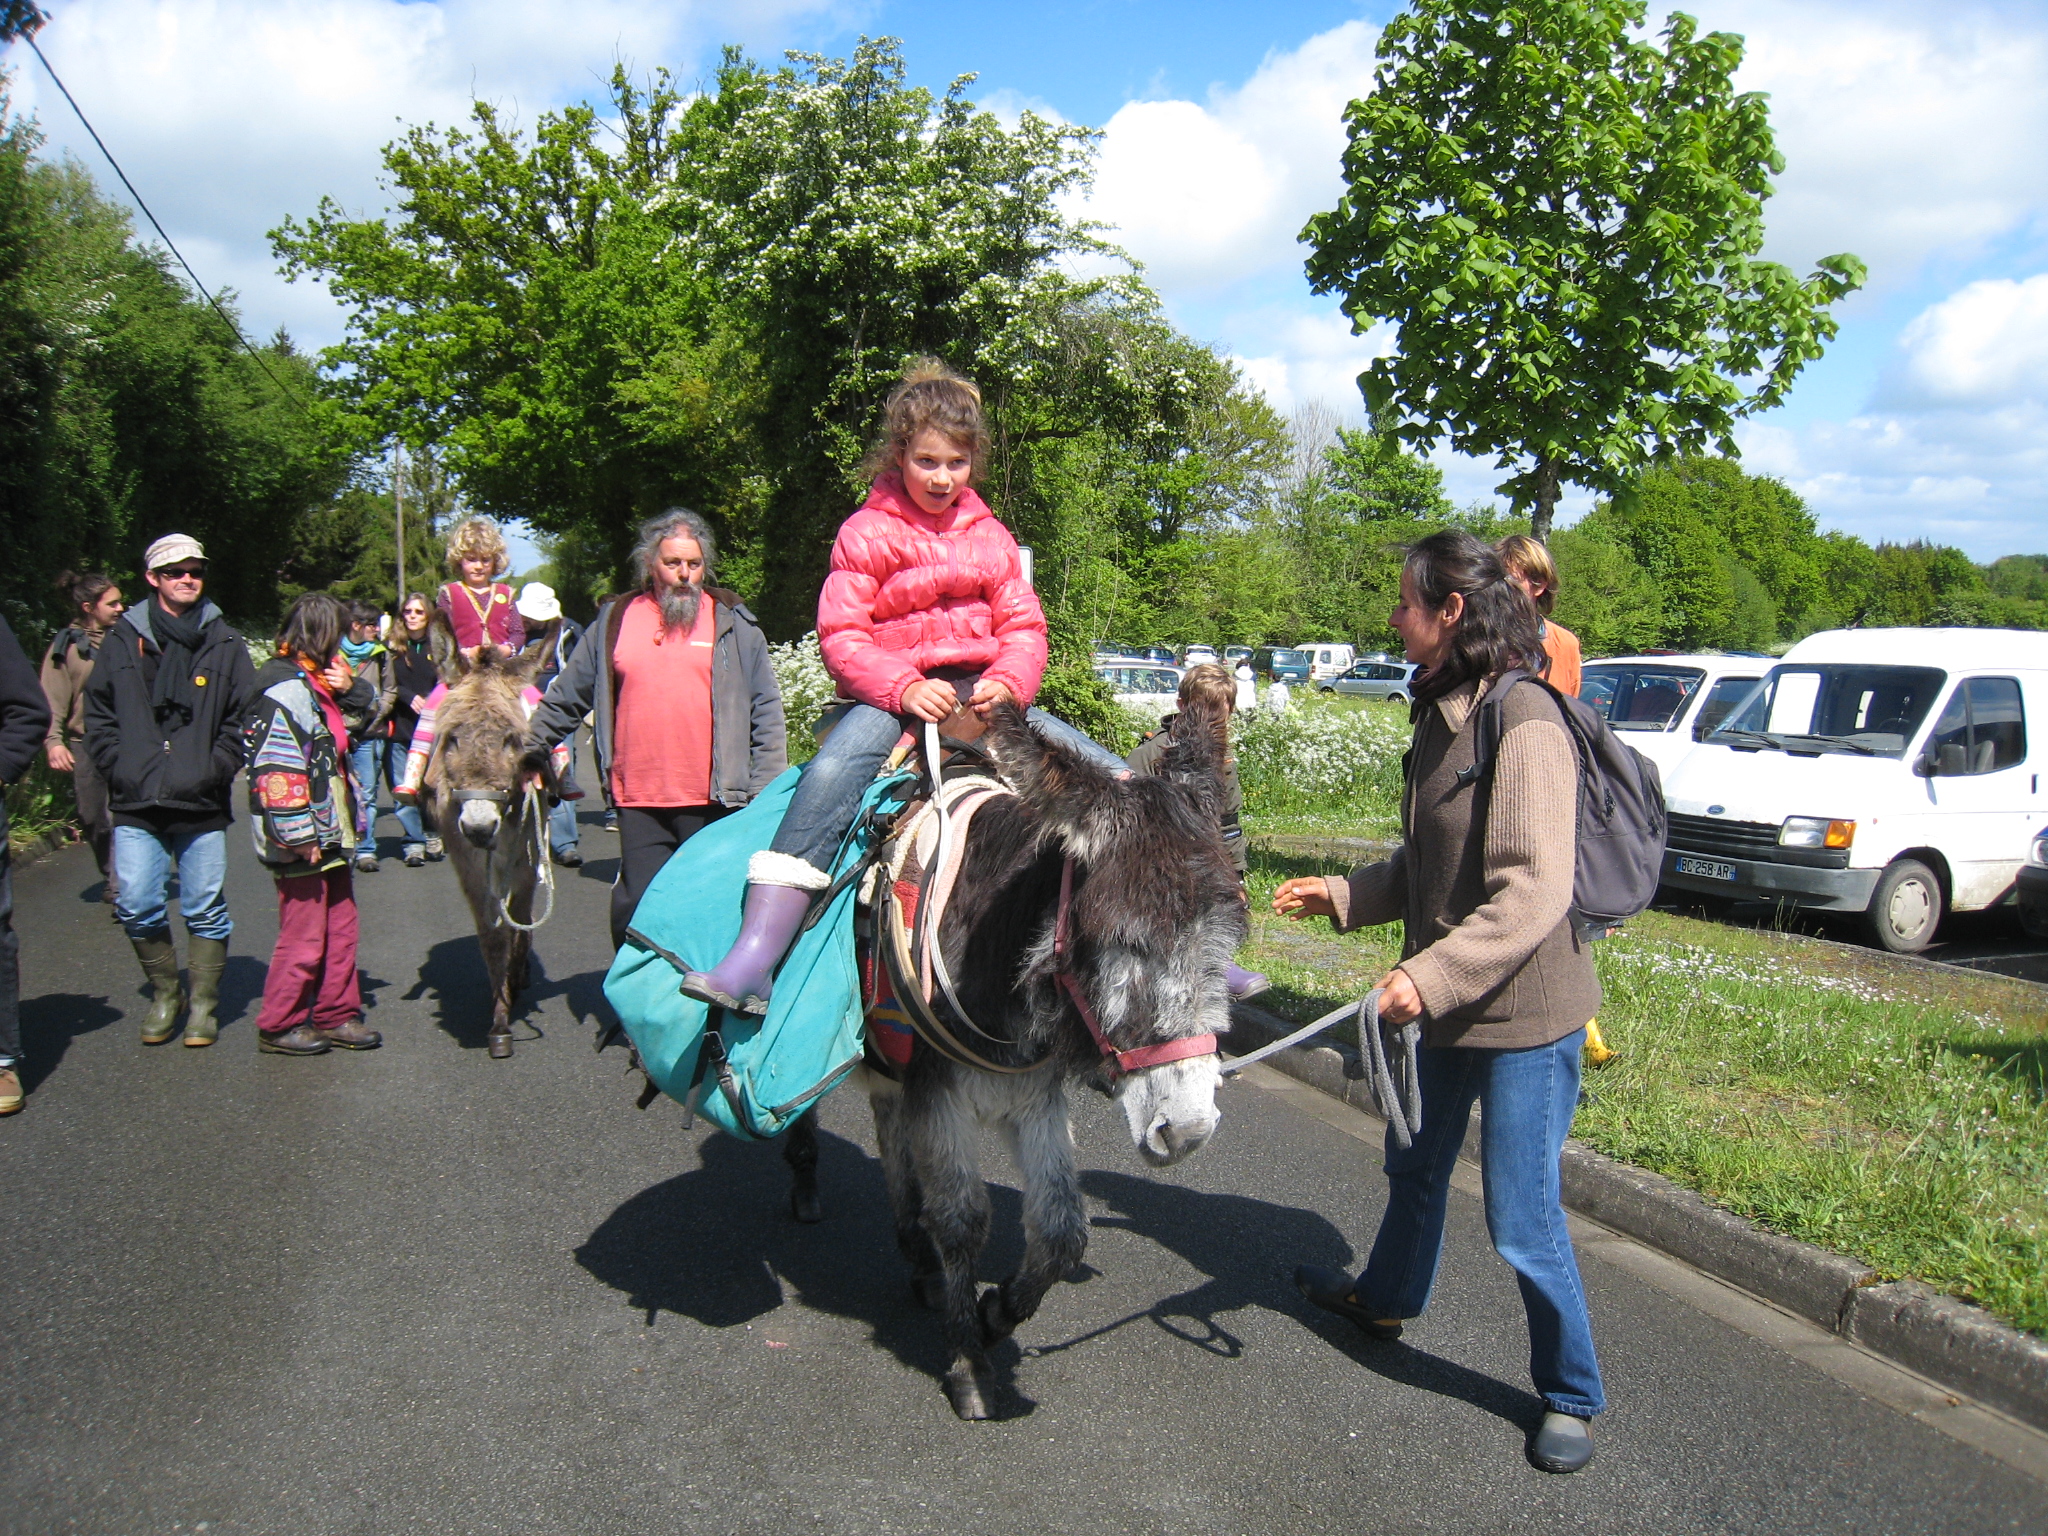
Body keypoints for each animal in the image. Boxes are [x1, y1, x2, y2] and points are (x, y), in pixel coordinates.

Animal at [421, 650, 555, 1059]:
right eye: (452, 738)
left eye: (511, 738)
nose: (479, 829)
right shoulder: (466, 862)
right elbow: (491, 935)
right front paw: (499, 1021)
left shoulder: (526, 856)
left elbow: (517, 918)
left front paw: (513, 980)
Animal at [857, 701, 1244, 1419]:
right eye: (1126, 941)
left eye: (1228, 944)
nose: (1188, 1132)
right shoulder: (939, 1094)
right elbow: (962, 1220)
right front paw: (969, 1363)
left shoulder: (1033, 1096)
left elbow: (1063, 1229)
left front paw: (994, 1314)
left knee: (890, 1134)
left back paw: (917, 1259)